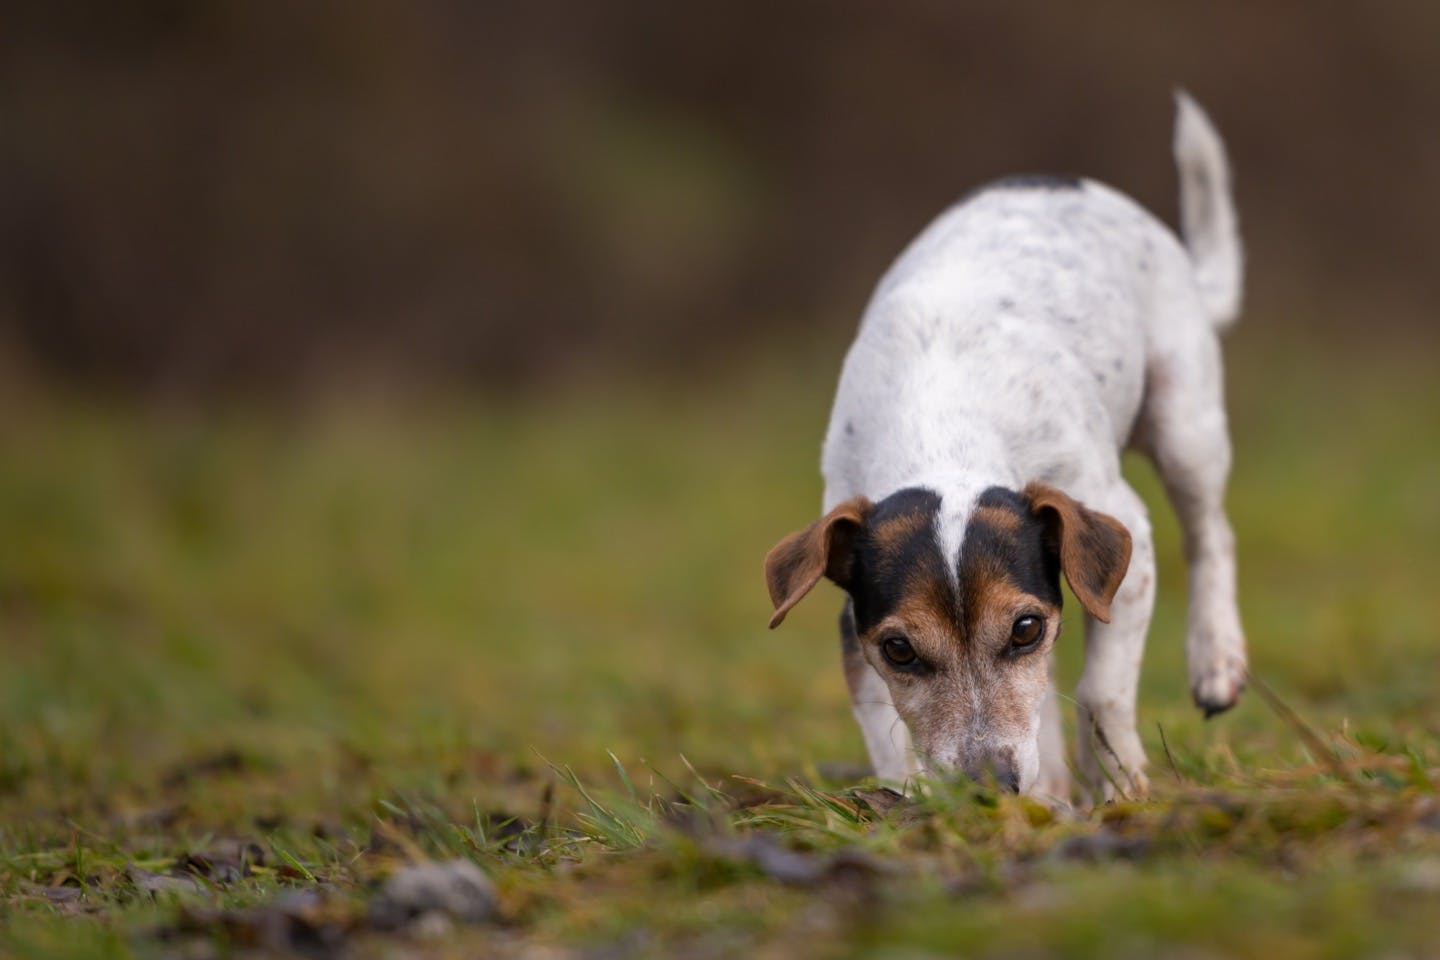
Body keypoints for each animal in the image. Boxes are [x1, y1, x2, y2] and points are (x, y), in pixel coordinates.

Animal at [766, 95, 1249, 805]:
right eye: (900, 650)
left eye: (1026, 629)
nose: (990, 787)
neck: (941, 425)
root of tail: (1063, 180)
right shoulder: (855, 634)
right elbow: (889, 736)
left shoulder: (1127, 552)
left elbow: (1102, 692)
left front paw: (1119, 786)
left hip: (1185, 421)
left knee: (1210, 533)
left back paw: (1215, 656)